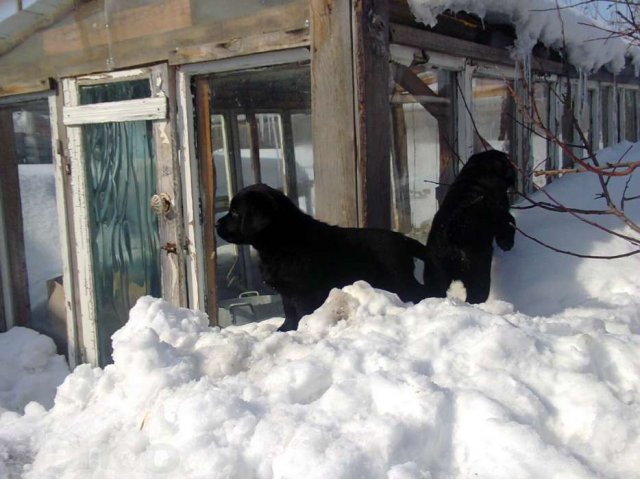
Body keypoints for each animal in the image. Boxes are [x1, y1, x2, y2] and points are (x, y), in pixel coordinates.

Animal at [216, 183, 430, 330]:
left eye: (235, 212)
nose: (216, 224)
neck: (283, 241)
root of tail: (404, 240)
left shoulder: (303, 293)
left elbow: (301, 313)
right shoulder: (287, 293)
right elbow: (289, 313)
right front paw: (285, 330)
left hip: (398, 280)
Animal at [422, 150, 516, 302]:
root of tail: (451, 232)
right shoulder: (501, 213)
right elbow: (508, 224)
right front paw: (507, 244)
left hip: (435, 274)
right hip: (478, 270)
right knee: (477, 294)